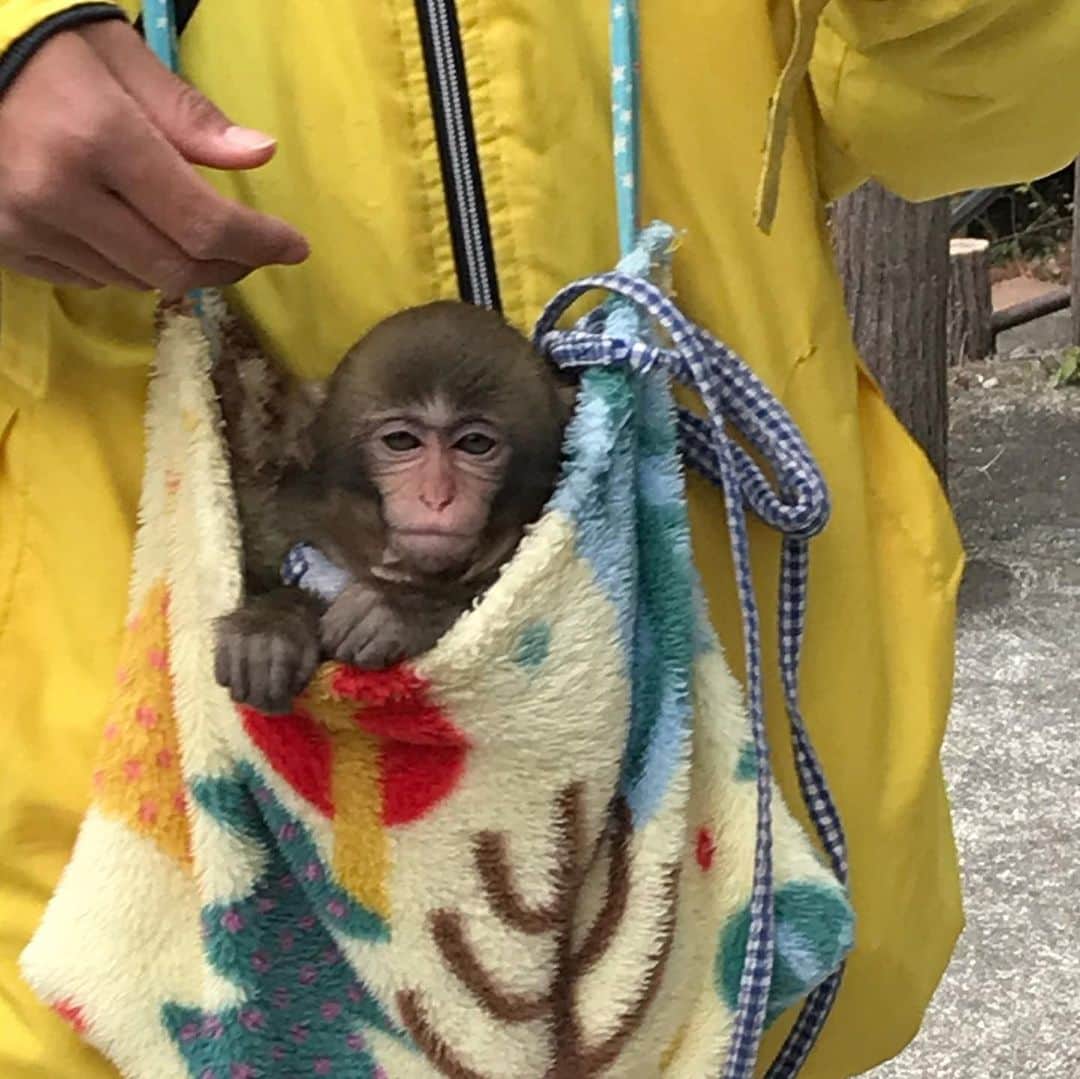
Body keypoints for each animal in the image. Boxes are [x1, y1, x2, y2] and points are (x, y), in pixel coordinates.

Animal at [212, 300, 575, 715]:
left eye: (475, 444)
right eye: (401, 441)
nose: (436, 497)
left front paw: (398, 609)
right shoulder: (282, 518)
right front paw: (272, 627)